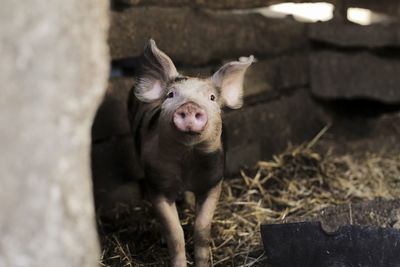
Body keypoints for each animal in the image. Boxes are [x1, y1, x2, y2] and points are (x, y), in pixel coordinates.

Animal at [128, 39, 253, 267]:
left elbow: (202, 229)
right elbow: (175, 232)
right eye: (171, 95)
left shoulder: (213, 182)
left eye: (212, 98)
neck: (187, 159)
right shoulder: (157, 183)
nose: (189, 107)